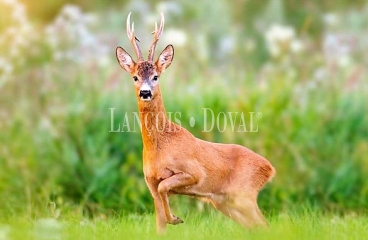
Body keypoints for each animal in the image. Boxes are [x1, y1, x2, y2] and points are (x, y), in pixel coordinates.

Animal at [116, 11, 274, 232]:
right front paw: (171, 219)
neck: (160, 146)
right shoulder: (150, 182)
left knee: (265, 224)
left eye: (156, 76)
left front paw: (176, 218)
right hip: (225, 202)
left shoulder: (194, 173)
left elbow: (165, 188)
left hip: (244, 195)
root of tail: (269, 168)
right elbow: (159, 223)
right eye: (135, 77)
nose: (145, 92)